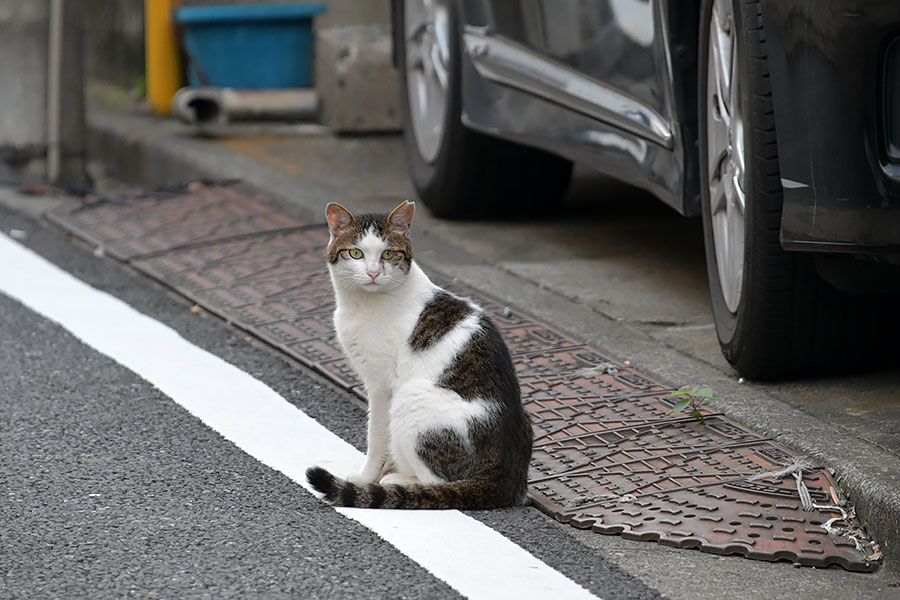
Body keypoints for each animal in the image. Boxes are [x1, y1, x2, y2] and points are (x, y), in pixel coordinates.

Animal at [310, 199, 536, 508]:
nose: (373, 272)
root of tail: (501, 478)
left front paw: (366, 477)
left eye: (388, 253)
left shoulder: (381, 386)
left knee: (439, 484)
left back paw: (398, 481)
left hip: (411, 397)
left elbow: (376, 437)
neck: (362, 304)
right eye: (356, 253)